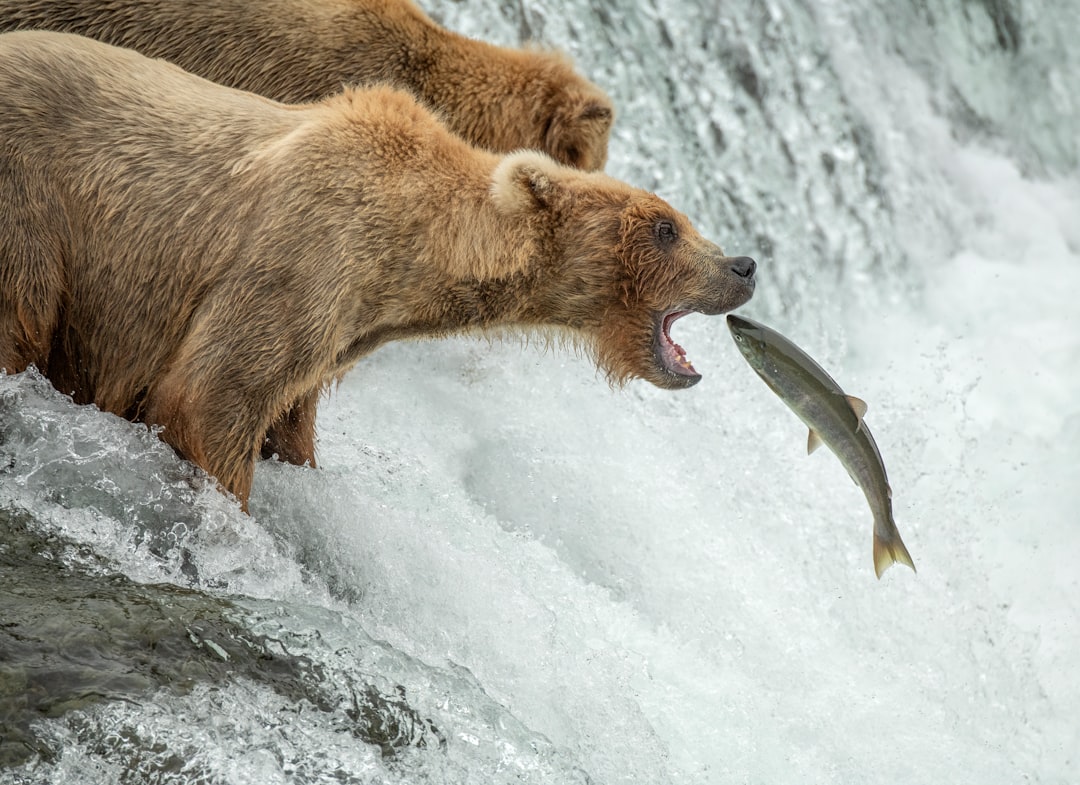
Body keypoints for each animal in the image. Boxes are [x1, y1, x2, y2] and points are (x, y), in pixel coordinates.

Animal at [0, 31, 756, 511]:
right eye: (665, 227)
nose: (743, 265)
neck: (408, 255)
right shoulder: (301, 258)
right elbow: (210, 395)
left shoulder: (335, 330)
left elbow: (286, 419)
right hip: (32, 210)